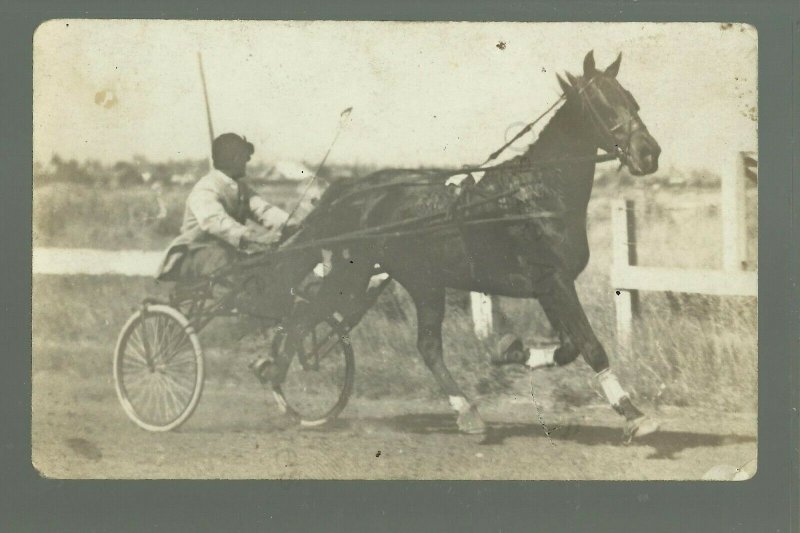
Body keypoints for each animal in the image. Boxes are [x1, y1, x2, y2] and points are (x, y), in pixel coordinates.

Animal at [272, 52, 660, 438]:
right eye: (602, 103)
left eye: (631, 99)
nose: (649, 153)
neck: (533, 194)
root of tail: (347, 191)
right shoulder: (555, 280)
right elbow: (590, 345)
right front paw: (633, 413)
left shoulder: (547, 285)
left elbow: (568, 348)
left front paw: (510, 351)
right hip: (351, 275)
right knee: (300, 320)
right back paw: (275, 381)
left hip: (424, 282)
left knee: (427, 346)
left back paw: (467, 411)